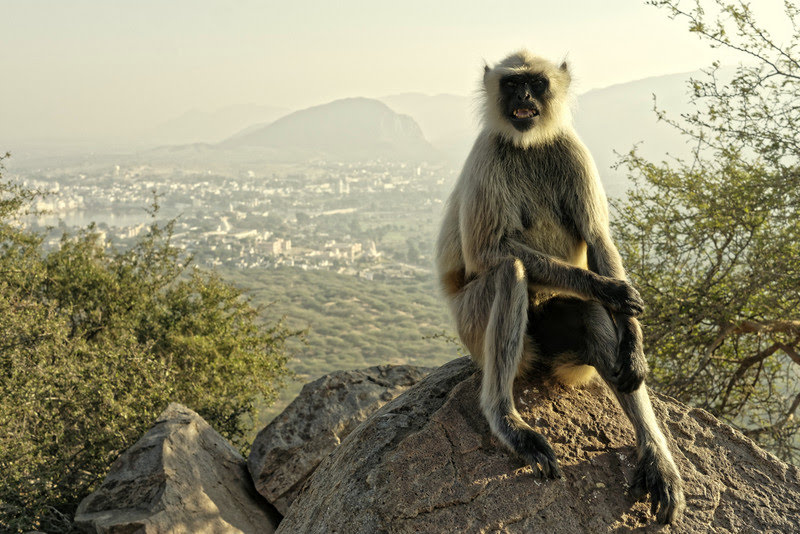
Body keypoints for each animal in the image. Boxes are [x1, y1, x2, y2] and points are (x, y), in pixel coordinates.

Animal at [434, 52, 684, 524]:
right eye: (512, 84)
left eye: (536, 83)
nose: (523, 98)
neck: (528, 144)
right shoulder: (487, 154)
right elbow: (486, 253)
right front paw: (610, 289)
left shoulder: (571, 148)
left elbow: (598, 238)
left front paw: (633, 342)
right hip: (474, 329)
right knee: (508, 272)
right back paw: (508, 422)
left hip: (565, 357)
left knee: (593, 322)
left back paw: (656, 459)